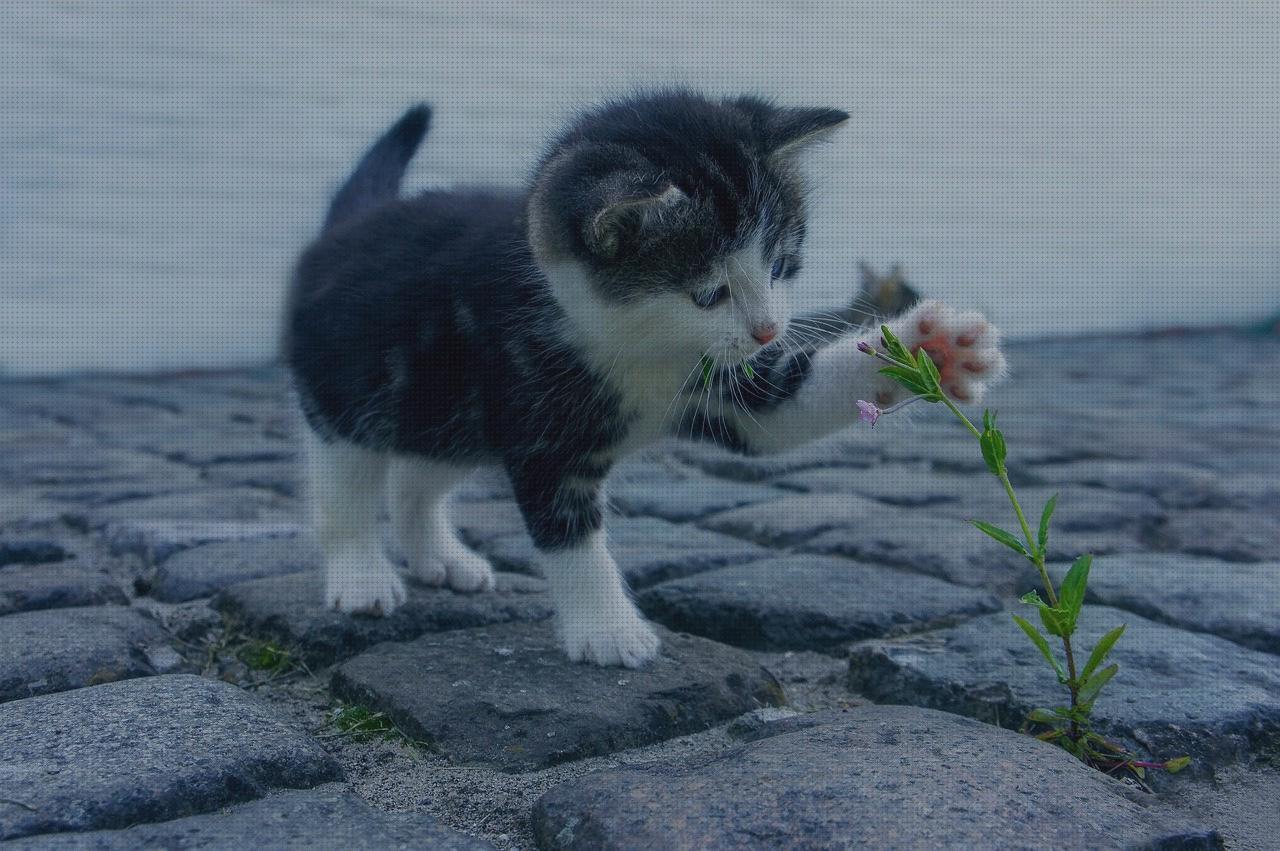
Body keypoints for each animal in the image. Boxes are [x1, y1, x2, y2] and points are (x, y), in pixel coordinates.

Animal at [282, 89, 1008, 665]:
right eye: (709, 293)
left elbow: (786, 408)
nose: (769, 330)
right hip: (347, 394)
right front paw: (608, 630)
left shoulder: (726, 385)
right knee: (345, 490)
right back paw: (362, 576)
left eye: (781, 265)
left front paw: (933, 348)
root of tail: (347, 226)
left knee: (415, 477)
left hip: (447, 412)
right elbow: (570, 535)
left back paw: (440, 556)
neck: (638, 346)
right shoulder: (539, 421)